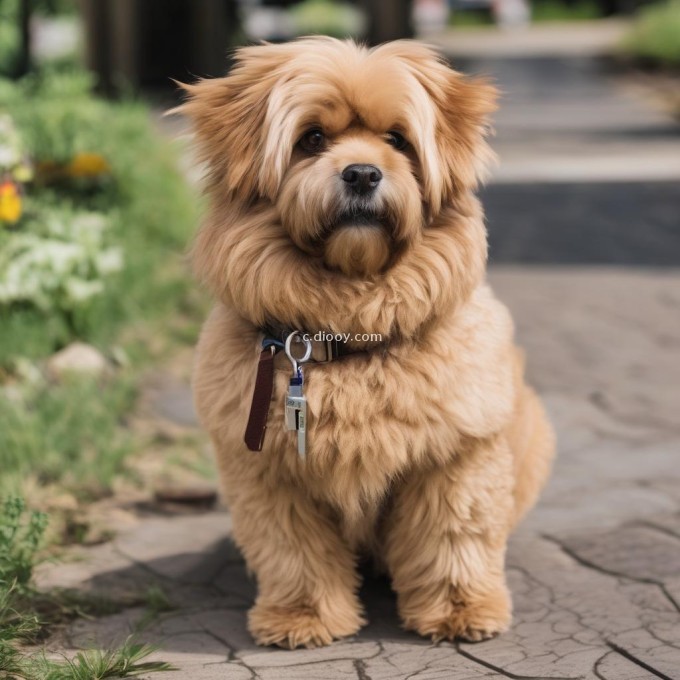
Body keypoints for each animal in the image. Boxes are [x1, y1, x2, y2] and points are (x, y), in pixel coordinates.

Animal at [183, 35, 556, 648]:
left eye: (397, 139)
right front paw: (303, 617)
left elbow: (452, 538)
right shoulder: (270, 476)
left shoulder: (455, 457)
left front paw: (460, 610)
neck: (351, 328)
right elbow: (293, 551)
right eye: (312, 139)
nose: (361, 174)